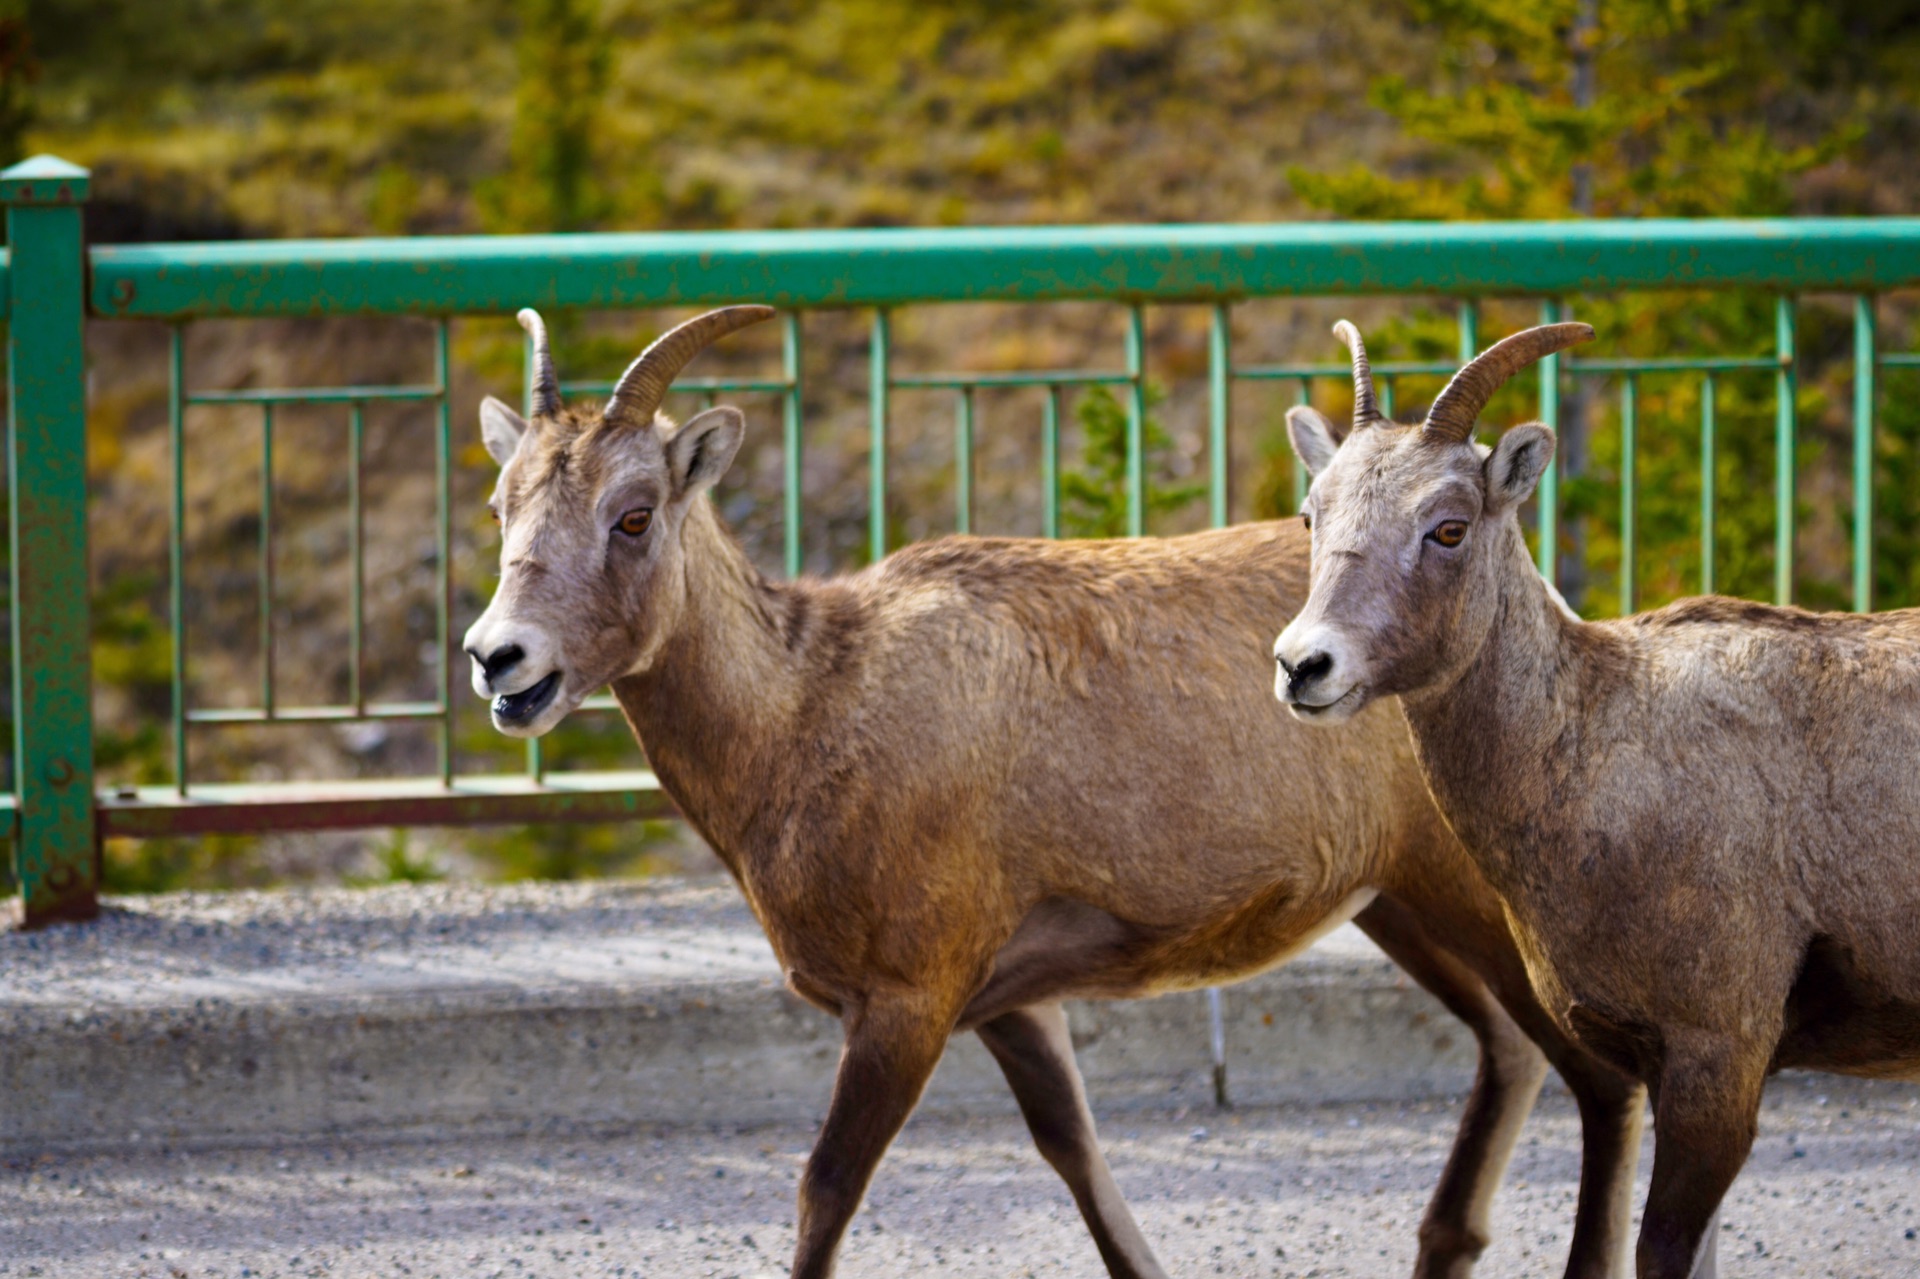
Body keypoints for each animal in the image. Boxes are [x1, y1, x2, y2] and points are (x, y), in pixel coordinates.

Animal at [460, 307, 1635, 1275]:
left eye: (635, 514)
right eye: (500, 502)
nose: (500, 659)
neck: (807, 714)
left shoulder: (907, 1003)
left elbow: (825, 1194)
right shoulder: (1012, 1003)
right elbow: (1074, 1153)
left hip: (1469, 900)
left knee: (1592, 1072)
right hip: (1404, 906)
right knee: (1512, 1051)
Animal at [1282, 313, 1920, 1267]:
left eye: (1449, 528)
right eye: (1312, 513)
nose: (1303, 665)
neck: (1598, 748)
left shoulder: (1715, 1068)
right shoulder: (1672, 1072)